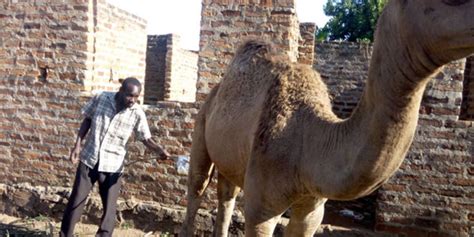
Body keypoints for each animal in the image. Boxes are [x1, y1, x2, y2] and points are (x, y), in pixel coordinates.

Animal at [180, 0, 472, 236]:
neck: (309, 143)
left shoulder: (312, 208)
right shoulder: (260, 208)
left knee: (226, 195)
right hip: (202, 124)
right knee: (197, 187)